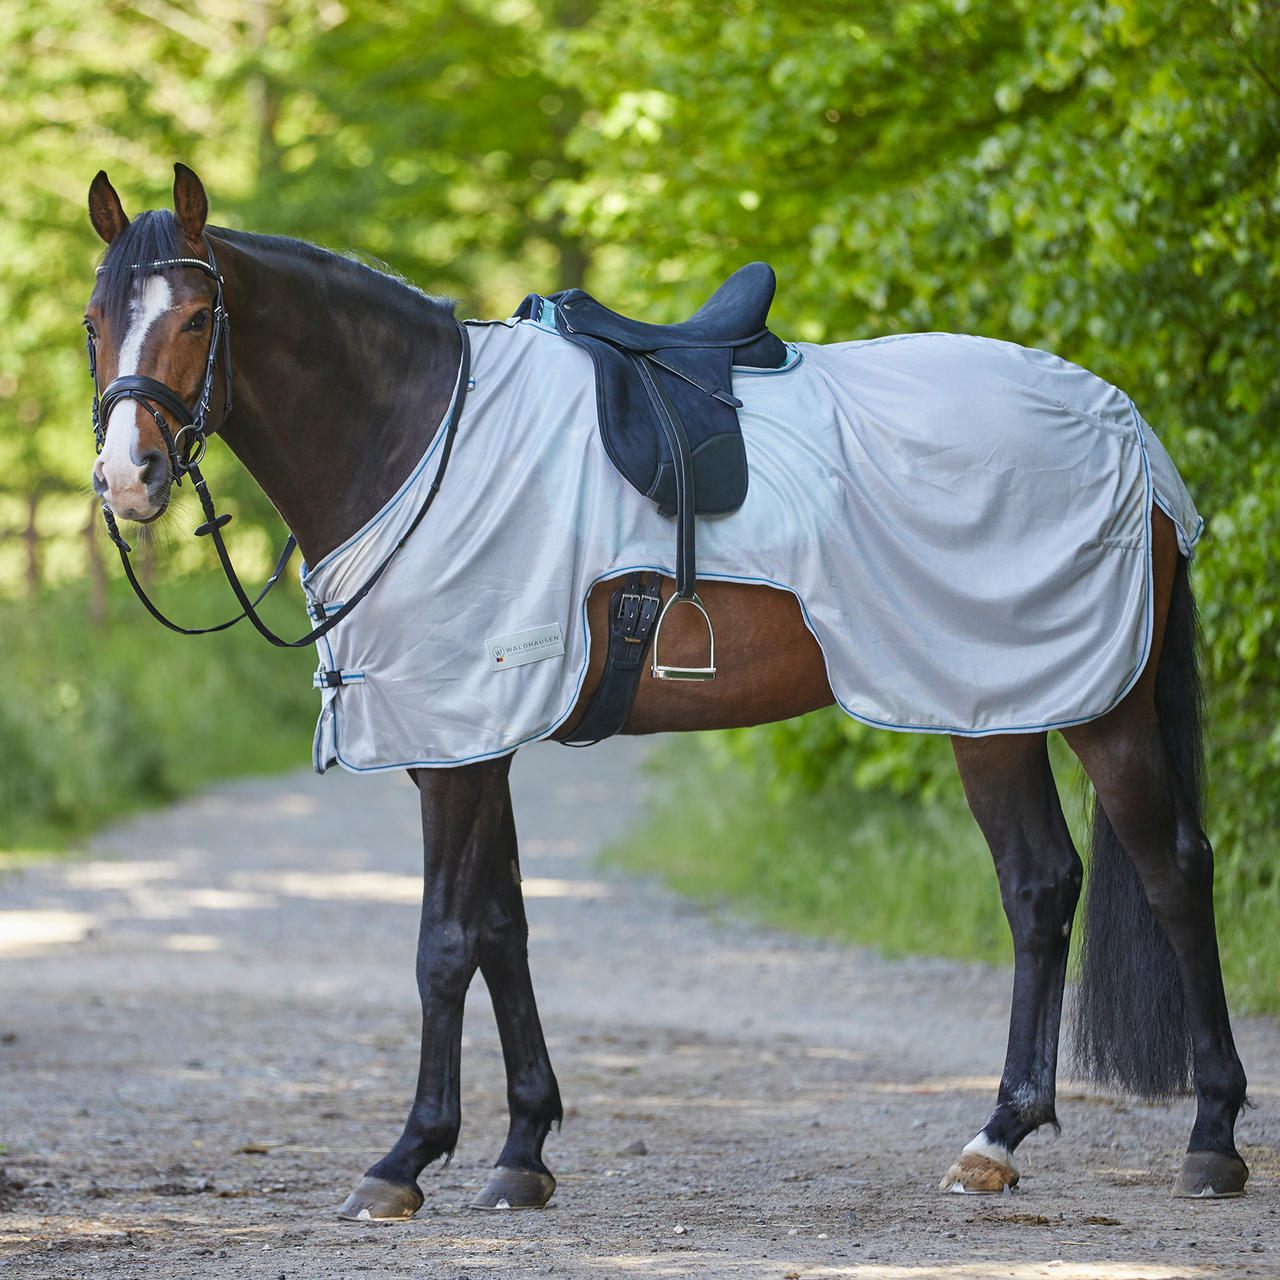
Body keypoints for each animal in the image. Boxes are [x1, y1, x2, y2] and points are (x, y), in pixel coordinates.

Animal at [82, 165, 1249, 1213]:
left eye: (197, 316)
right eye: (96, 320)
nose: (129, 479)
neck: (418, 438)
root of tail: (1127, 427)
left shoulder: (462, 742)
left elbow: (444, 944)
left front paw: (407, 1158)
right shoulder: (475, 740)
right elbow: (503, 930)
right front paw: (522, 1151)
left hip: (1100, 704)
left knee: (1172, 869)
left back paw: (1211, 1139)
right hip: (988, 705)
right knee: (1040, 886)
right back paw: (997, 1137)